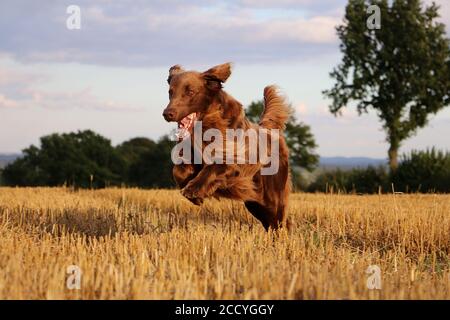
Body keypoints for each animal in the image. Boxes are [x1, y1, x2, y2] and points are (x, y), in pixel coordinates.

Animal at [163, 62, 290, 230]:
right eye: (170, 92)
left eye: (190, 92)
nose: (167, 113)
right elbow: (178, 170)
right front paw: (194, 195)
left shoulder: (234, 160)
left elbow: (212, 169)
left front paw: (193, 190)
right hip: (255, 203)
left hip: (273, 197)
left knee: (281, 221)